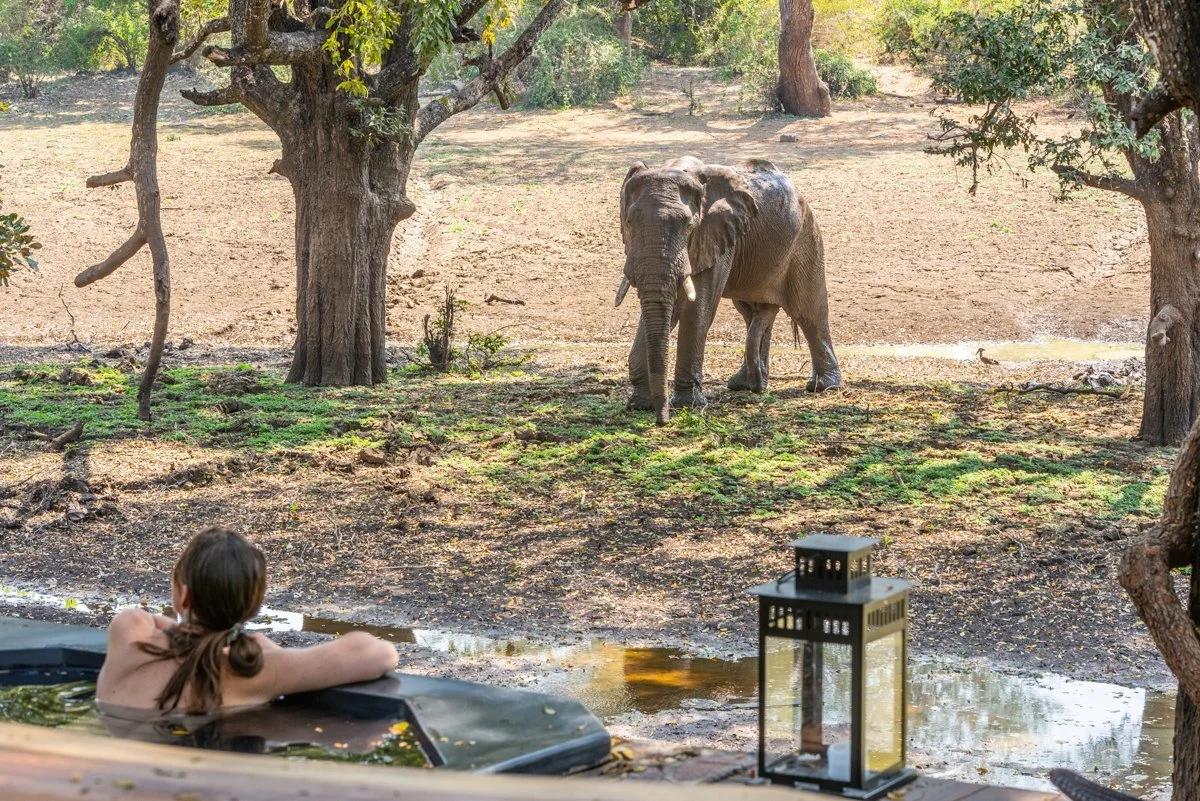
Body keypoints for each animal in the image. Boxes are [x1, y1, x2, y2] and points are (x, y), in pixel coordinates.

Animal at [615, 155, 841, 425]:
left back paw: (823, 386)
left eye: (689, 225)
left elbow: (696, 309)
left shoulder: (713, 235)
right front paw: (640, 403)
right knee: (750, 313)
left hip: (807, 237)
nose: (662, 421)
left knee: (808, 312)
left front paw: (687, 404)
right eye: (629, 222)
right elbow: (667, 308)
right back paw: (745, 384)